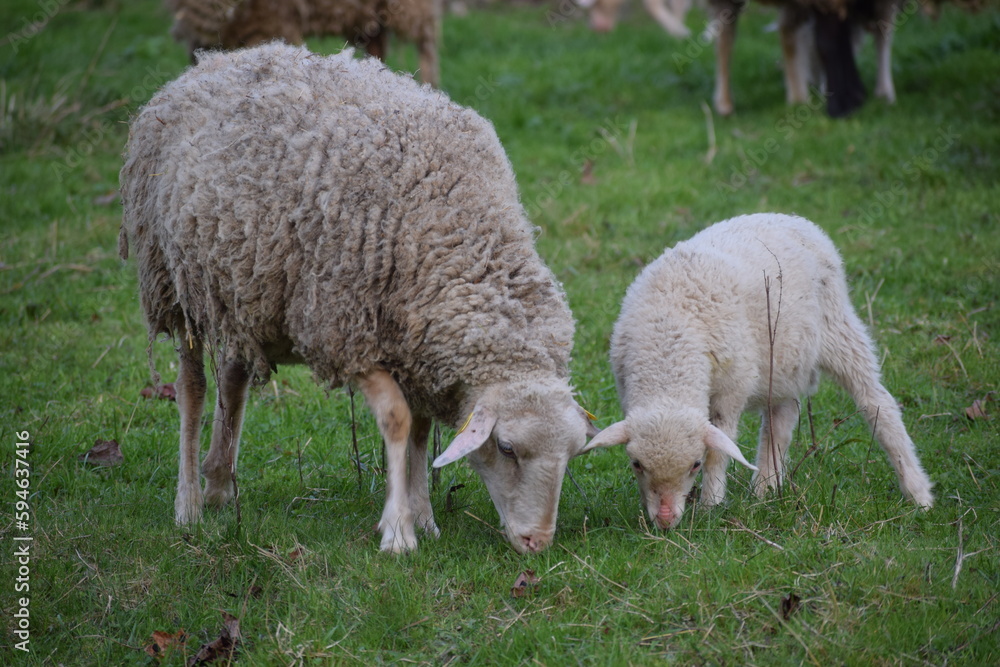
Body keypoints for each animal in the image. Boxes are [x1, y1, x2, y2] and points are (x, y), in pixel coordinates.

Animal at [118, 43, 597, 554]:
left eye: (570, 455)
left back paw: (219, 483)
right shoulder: (343, 332)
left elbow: (421, 432)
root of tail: (216, 60)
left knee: (233, 376)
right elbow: (397, 420)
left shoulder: (414, 347)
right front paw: (399, 530)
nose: (537, 543)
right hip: (173, 283)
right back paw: (188, 504)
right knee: (192, 388)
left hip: (246, 291)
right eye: (507, 448)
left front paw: (424, 516)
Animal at [583, 214, 934, 529]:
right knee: (780, 421)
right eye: (636, 464)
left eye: (695, 465)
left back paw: (918, 494)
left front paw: (711, 504)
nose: (666, 520)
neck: (669, 340)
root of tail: (793, 218)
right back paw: (766, 489)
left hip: (836, 326)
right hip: (784, 361)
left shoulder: (731, 390)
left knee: (876, 402)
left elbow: (720, 450)